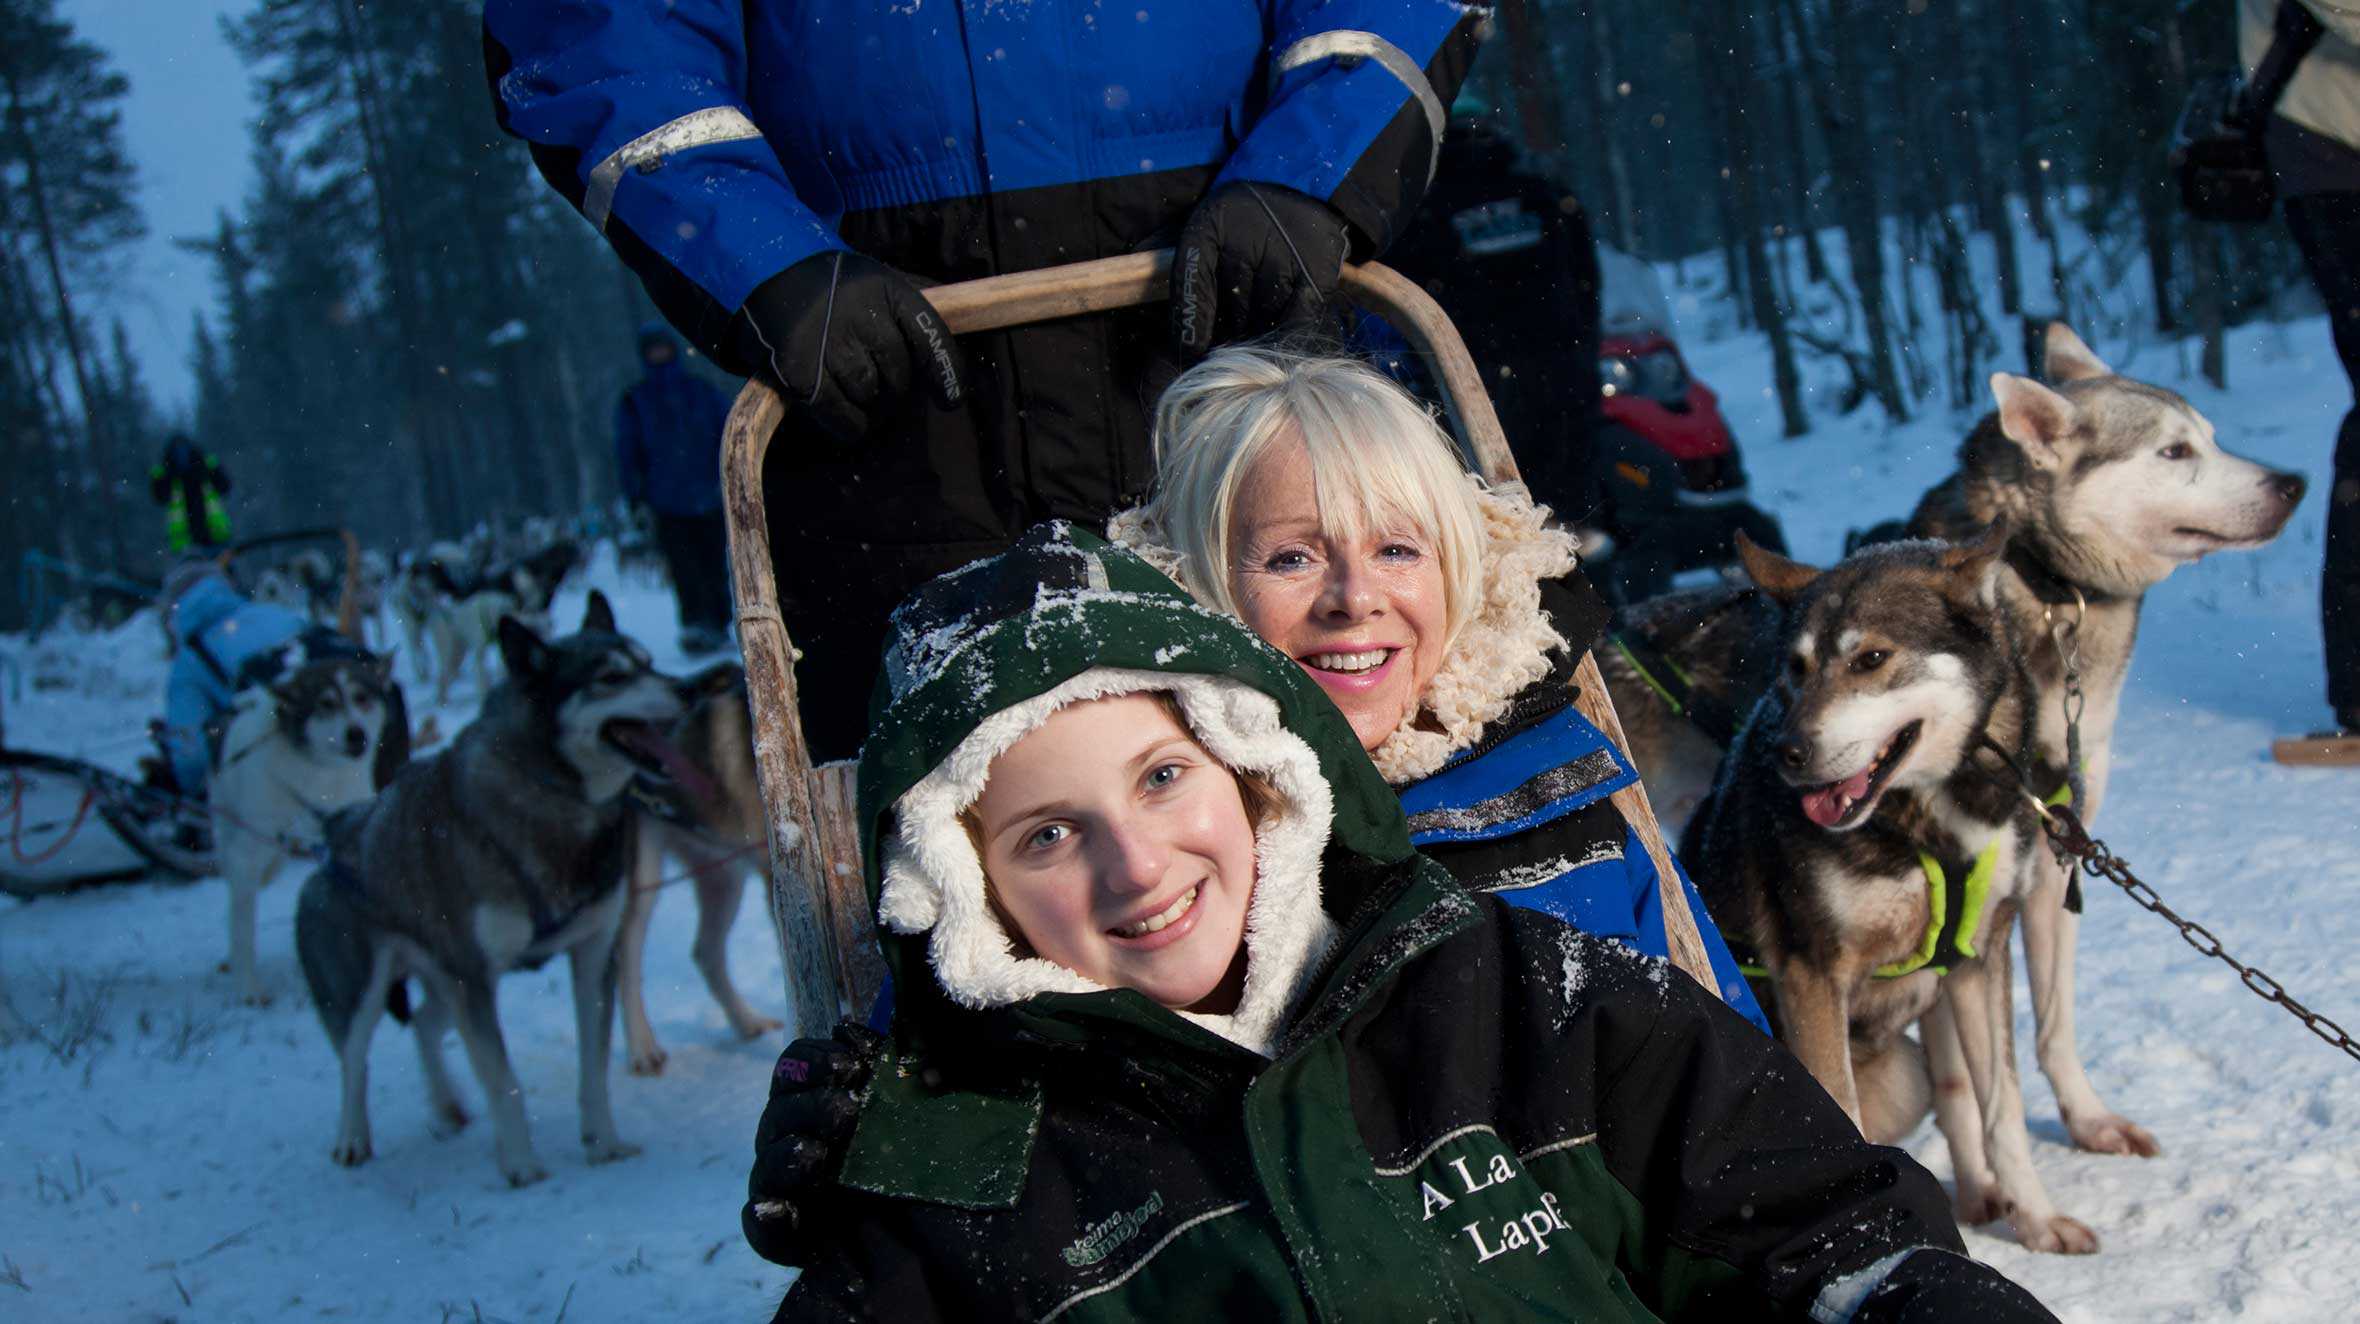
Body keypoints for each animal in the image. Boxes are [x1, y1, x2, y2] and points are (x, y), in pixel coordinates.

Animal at [210, 651, 403, 1000]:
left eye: (362, 697)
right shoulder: (246, 858)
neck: (318, 776)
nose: (357, 734)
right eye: (325, 704)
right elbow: (243, 931)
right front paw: (247, 986)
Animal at [293, 594, 679, 1180]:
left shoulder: (590, 954)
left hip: (440, 976)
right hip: (364, 987)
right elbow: (502, 1080)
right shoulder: (475, 979)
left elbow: (592, 1066)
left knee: (423, 1025)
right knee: (354, 1058)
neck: (557, 798)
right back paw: (352, 1138)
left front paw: (603, 1143)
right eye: (611, 676)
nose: (686, 689)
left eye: (649, 661)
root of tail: (336, 831)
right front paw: (521, 1164)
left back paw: (447, 1106)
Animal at [618, 660, 783, 1076]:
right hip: (643, 879)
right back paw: (643, 1048)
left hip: (723, 879)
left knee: (704, 952)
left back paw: (746, 1022)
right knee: (626, 958)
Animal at [1699, 526, 2105, 1246]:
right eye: (1796, 668)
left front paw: (2036, 1219)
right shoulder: (1812, 974)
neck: (1925, 829)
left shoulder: (1979, 958)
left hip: (1908, 1073)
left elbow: (2002, 1107)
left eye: (1872, 658)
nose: (1788, 752)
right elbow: (1841, 1120)